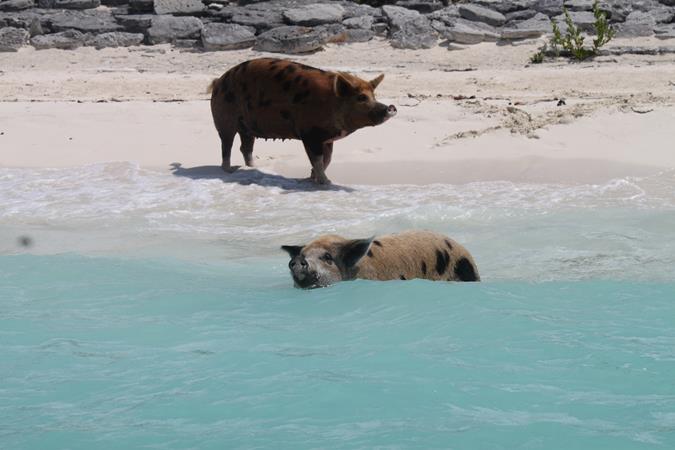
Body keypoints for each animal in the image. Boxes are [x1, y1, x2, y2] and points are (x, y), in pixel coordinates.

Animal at [210, 58, 396, 185]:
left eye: (374, 96)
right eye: (361, 98)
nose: (391, 107)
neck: (331, 103)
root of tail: (218, 82)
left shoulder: (327, 139)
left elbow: (328, 159)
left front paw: (313, 178)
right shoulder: (309, 134)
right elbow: (317, 159)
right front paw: (326, 182)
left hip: (247, 128)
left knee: (245, 147)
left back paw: (254, 167)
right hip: (224, 119)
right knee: (226, 145)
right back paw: (229, 171)